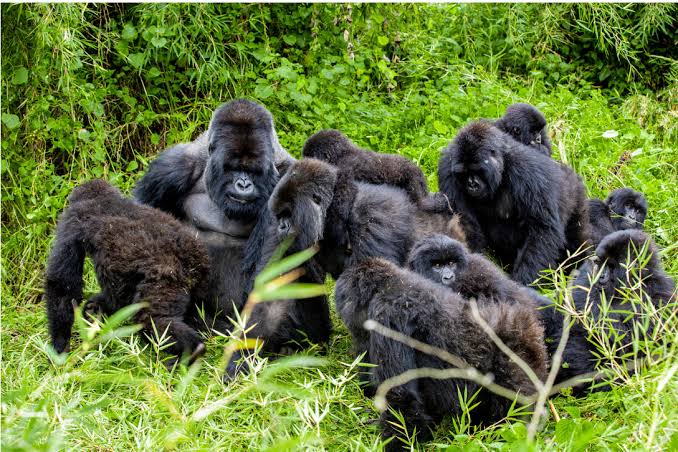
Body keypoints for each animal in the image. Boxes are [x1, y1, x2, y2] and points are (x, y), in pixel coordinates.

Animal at [45, 179, 209, 365]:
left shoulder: (71, 222)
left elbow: (62, 284)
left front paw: (59, 346)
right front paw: (95, 308)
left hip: (166, 278)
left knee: (152, 320)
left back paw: (192, 350)